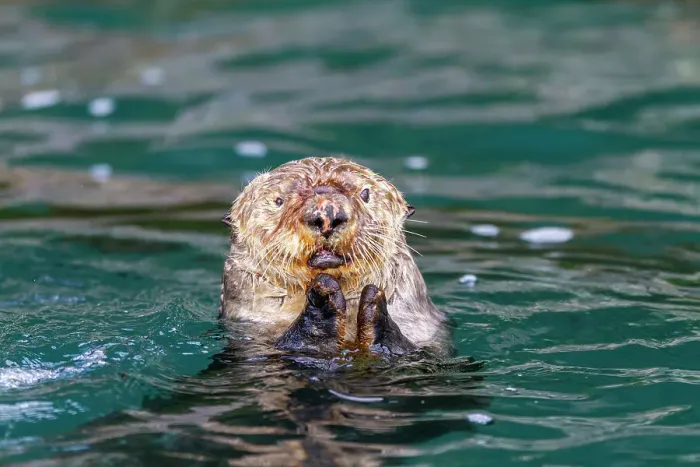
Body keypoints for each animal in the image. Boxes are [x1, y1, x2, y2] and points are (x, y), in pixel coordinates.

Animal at [219, 156, 452, 358]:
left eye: (365, 194)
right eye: (279, 201)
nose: (327, 213)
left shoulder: (421, 328)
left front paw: (374, 302)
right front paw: (323, 299)